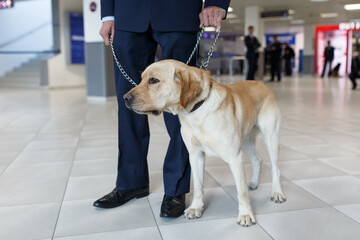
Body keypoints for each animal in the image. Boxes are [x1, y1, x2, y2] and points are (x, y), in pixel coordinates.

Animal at [124, 59, 286, 226]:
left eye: (154, 80)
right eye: (141, 79)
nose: (125, 98)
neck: (196, 112)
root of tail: (262, 83)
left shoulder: (235, 157)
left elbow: (241, 191)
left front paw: (246, 214)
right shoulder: (195, 155)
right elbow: (198, 185)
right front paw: (196, 207)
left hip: (271, 137)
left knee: (275, 168)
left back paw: (277, 192)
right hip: (246, 140)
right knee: (257, 160)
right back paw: (254, 182)